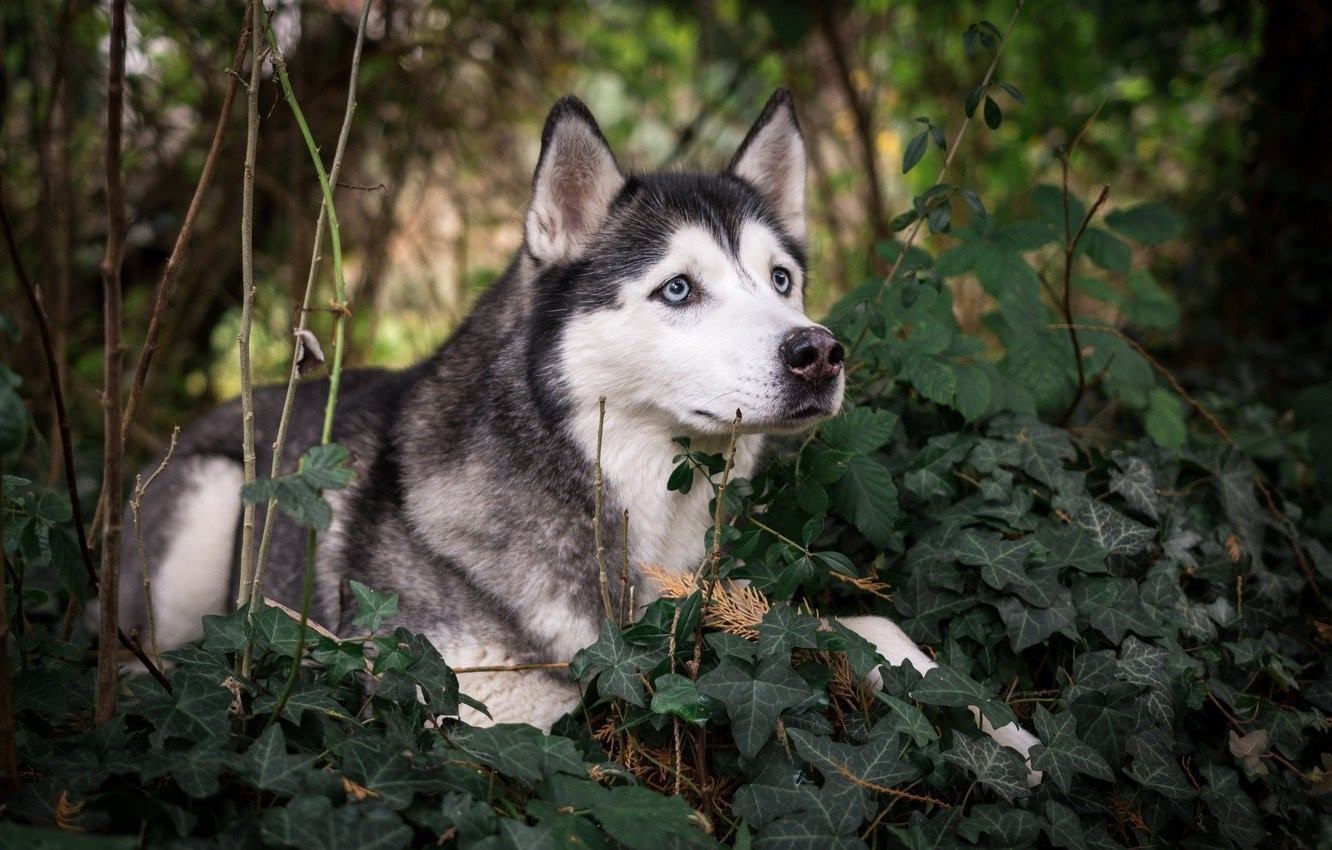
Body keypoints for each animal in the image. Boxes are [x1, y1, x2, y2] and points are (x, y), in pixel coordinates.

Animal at [119, 91, 1038, 778]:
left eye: (781, 280)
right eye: (678, 290)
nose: (819, 352)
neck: (634, 506)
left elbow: (865, 627)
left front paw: (1014, 738)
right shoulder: (469, 699)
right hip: (207, 508)